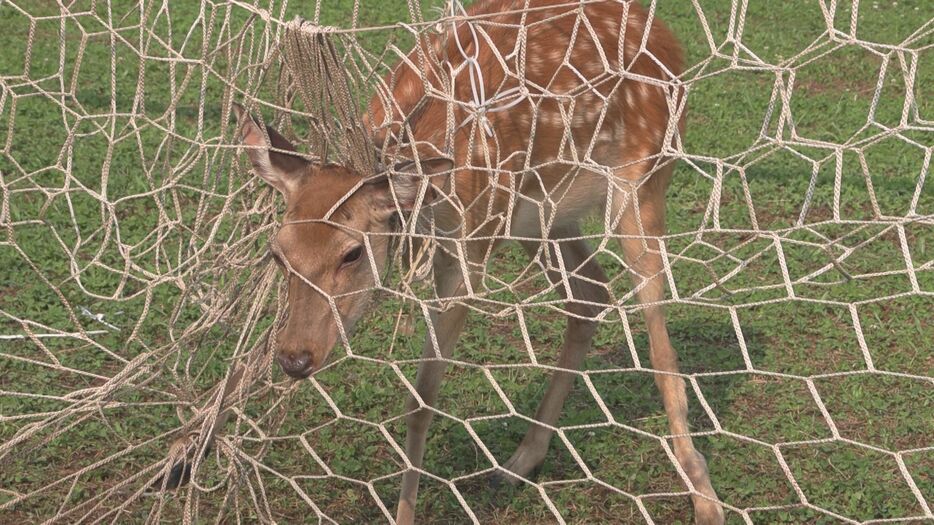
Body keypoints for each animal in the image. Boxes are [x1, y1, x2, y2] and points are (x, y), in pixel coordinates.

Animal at [232, 0, 724, 520]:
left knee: (658, 340)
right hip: (540, 215)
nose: (294, 357)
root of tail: (670, 41)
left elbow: (422, 398)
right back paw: (519, 462)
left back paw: (705, 499)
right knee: (590, 293)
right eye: (277, 253)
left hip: (642, 179)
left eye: (352, 252)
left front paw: (404, 513)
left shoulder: (468, 249)